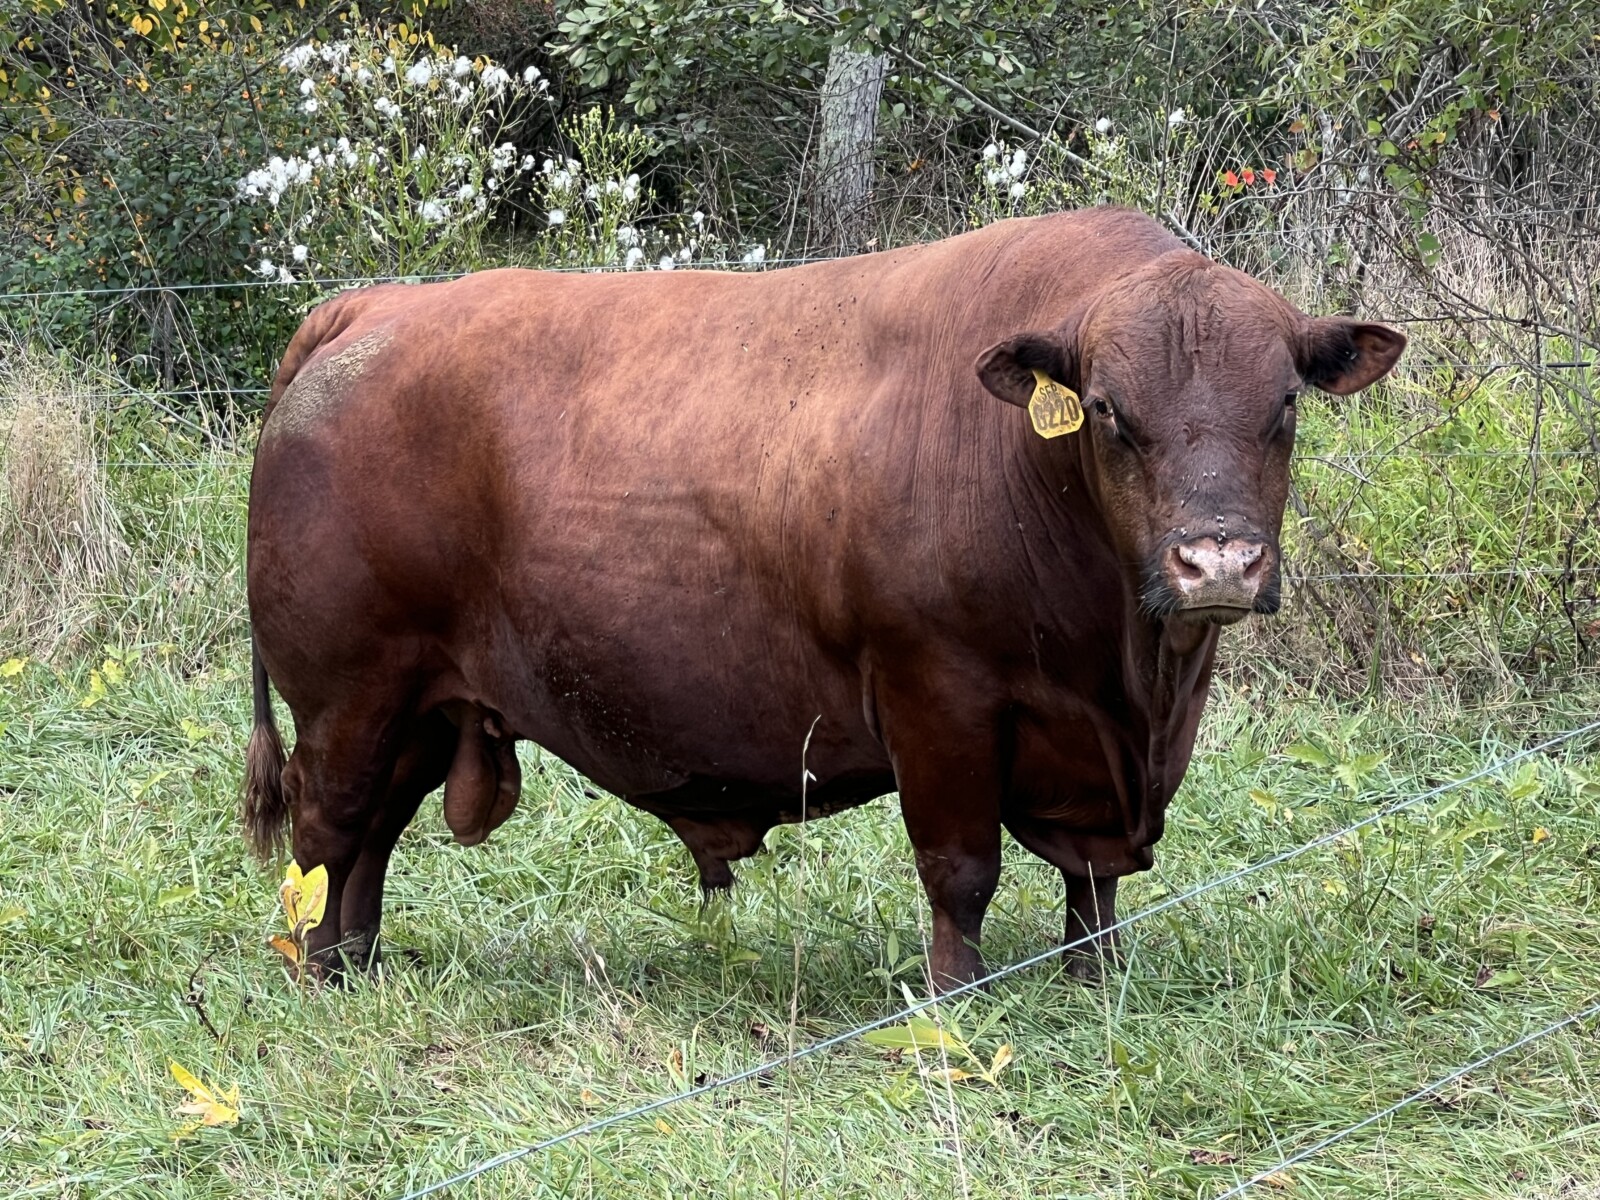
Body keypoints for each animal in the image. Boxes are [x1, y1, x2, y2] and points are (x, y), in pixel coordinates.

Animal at [243, 207, 1404, 990]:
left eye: (1284, 403)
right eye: (1112, 411)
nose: (1218, 563)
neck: (1127, 682)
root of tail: (375, 305)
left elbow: (1093, 884)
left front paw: (1095, 974)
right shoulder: (938, 696)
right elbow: (960, 869)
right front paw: (955, 998)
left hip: (422, 703)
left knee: (371, 837)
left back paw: (357, 962)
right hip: (351, 693)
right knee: (328, 826)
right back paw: (317, 969)